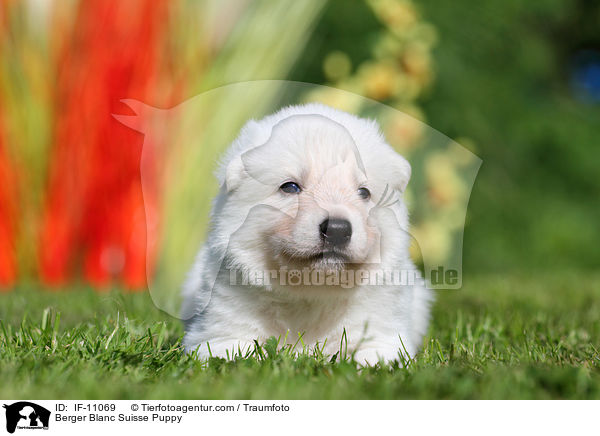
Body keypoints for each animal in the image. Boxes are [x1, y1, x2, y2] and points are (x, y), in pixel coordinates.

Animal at [180, 103, 434, 364]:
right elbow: (231, 355)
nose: (337, 229)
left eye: (363, 192)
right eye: (290, 187)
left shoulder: (382, 335)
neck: (310, 294)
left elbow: (375, 358)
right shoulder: (220, 333)